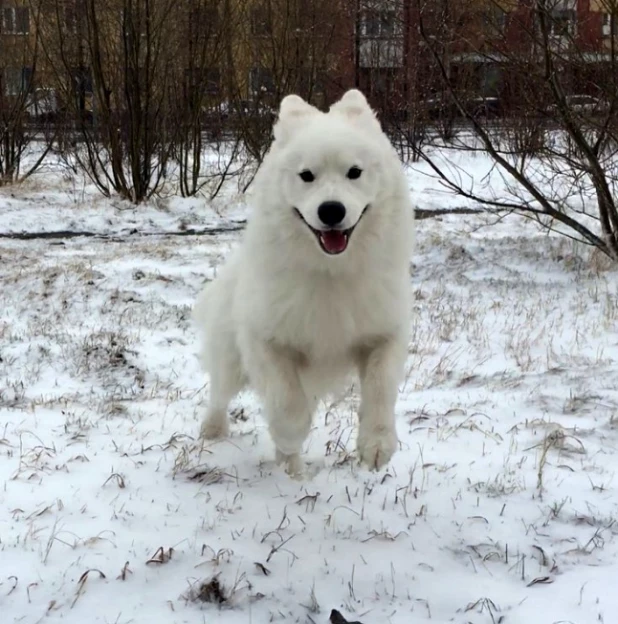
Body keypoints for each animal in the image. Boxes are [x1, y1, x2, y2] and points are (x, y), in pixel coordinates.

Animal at [192, 90, 414, 476]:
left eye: (354, 172)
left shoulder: (383, 331)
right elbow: (286, 403)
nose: (331, 210)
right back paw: (217, 431)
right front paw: (289, 437)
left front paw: (376, 446)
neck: (330, 272)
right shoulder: (266, 340)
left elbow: (381, 387)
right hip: (232, 361)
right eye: (306, 175)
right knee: (219, 392)